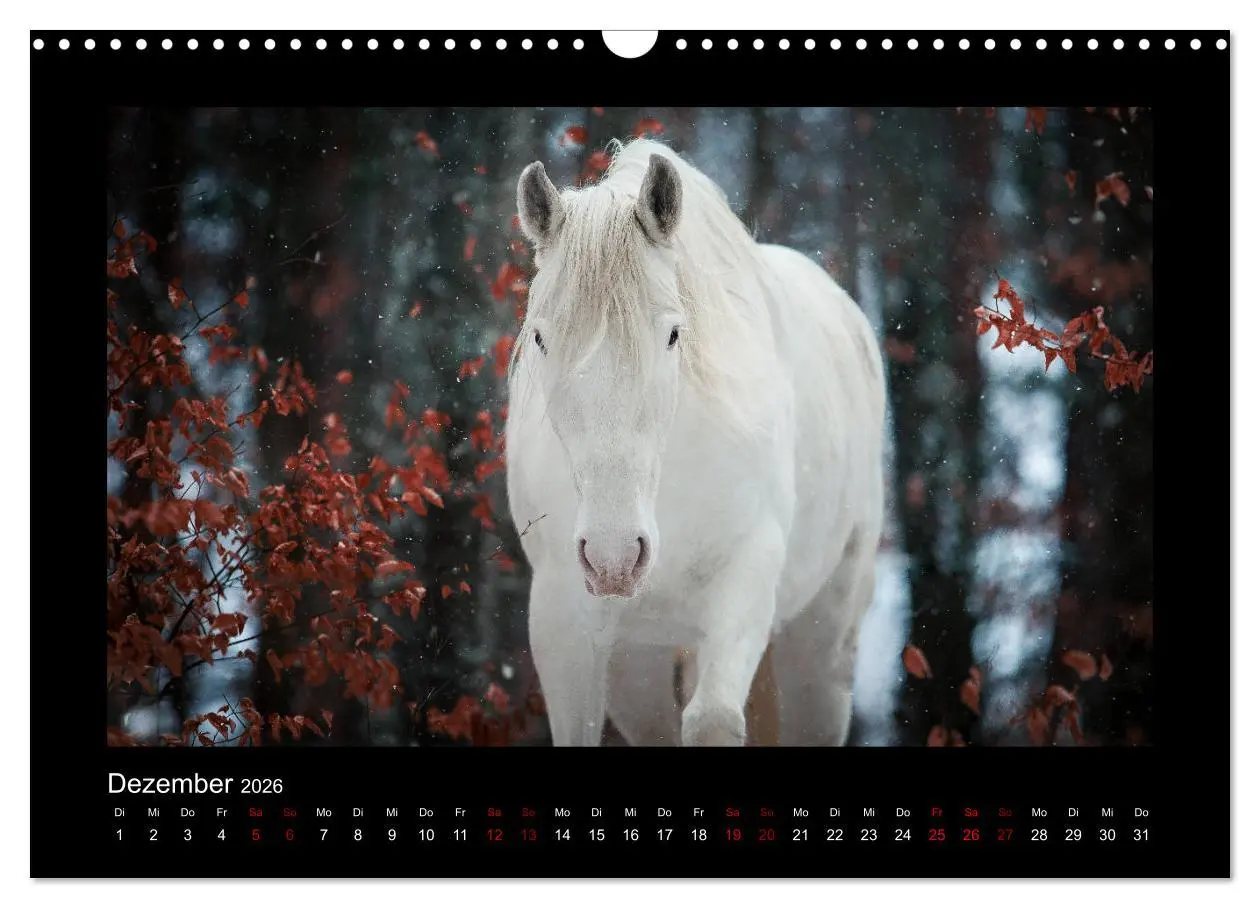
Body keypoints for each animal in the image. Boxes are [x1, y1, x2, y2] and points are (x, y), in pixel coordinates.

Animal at [505, 138, 886, 747]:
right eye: (540, 337)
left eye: (673, 334)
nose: (614, 558)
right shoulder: (562, 619)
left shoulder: (747, 580)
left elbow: (713, 721)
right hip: (637, 661)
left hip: (822, 642)